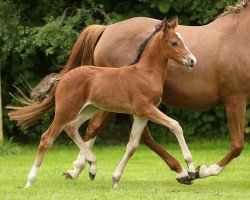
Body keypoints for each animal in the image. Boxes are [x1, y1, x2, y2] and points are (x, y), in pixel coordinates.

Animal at [7, 17, 196, 188]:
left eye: (183, 40)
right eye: (174, 42)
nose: (192, 60)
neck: (145, 73)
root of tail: (63, 78)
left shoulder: (140, 115)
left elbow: (132, 146)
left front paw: (116, 179)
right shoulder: (146, 109)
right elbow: (175, 125)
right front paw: (190, 168)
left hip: (89, 109)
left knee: (72, 127)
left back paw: (92, 167)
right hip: (65, 111)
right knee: (47, 138)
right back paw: (30, 181)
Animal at [56, 0, 248, 181]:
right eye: (174, 42)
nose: (192, 60)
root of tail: (106, 29)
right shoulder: (235, 99)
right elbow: (237, 144)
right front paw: (202, 170)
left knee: (108, 130)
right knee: (102, 128)